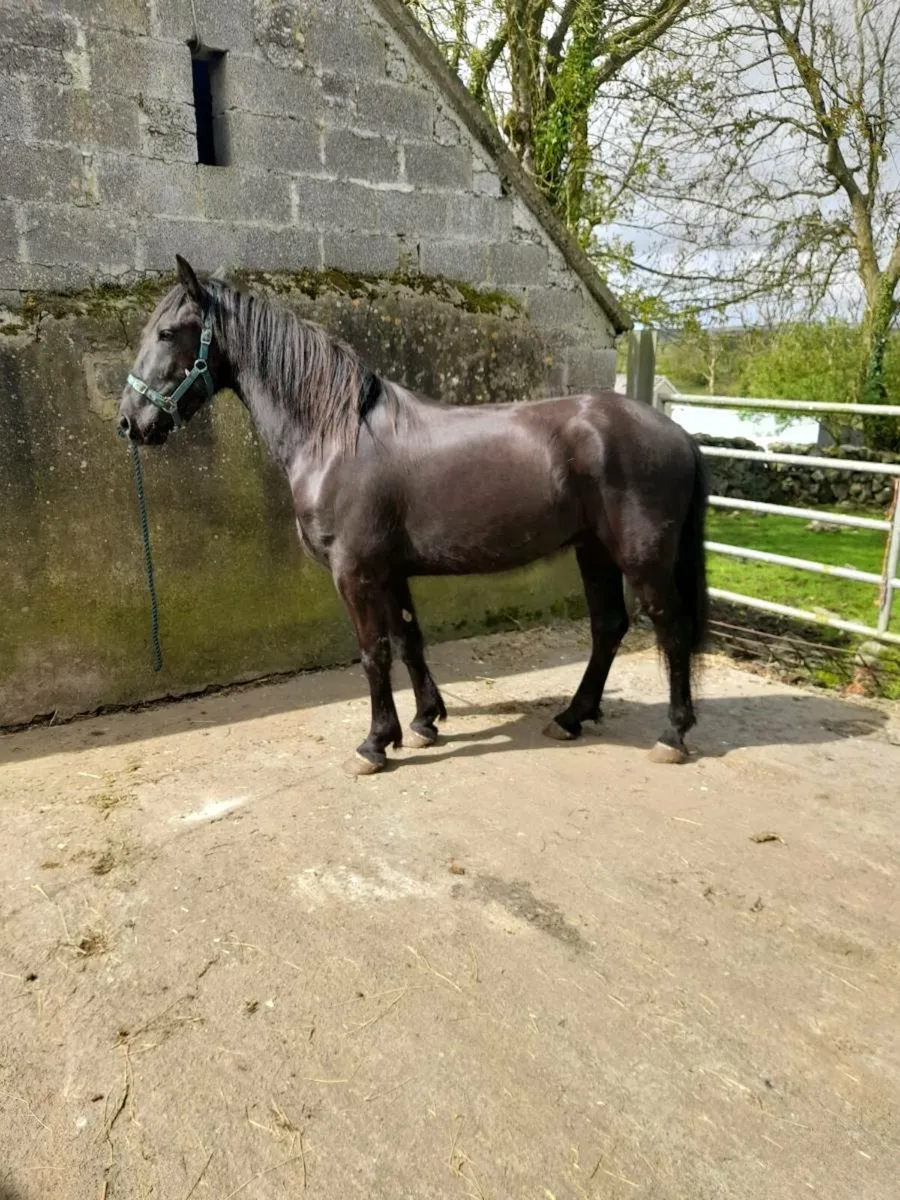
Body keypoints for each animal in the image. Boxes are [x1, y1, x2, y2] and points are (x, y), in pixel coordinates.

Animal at [118, 256, 709, 775]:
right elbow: (408, 640)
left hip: (642, 557)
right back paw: (571, 717)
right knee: (608, 626)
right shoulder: (390, 570)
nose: (130, 422)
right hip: (594, 550)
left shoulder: (354, 571)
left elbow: (374, 653)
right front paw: (425, 722)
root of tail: (679, 433)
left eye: (167, 333)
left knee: (671, 629)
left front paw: (375, 743)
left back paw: (673, 735)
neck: (335, 435)